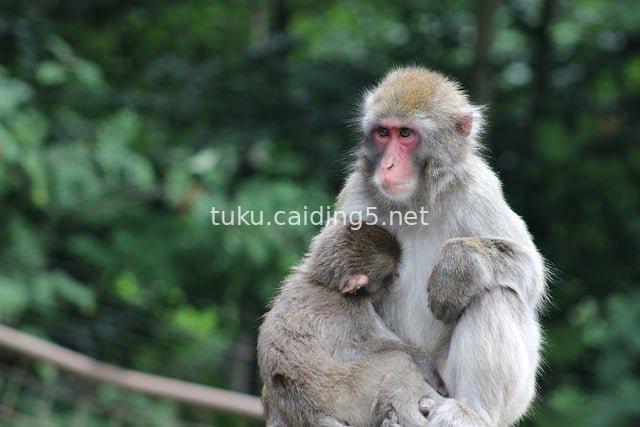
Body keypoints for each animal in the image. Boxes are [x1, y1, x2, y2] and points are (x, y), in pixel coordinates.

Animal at [257, 221, 450, 427]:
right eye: (389, 275)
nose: (397, 275)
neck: (327, 285)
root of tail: (312, 414)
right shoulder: (353, 310)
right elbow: (349, 351)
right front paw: (425, 363)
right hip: (351, 393)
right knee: (397, 360)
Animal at [330, 66, 547, 426]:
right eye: (383, 133)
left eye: (405, 134)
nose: (387, 165)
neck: (415, 202)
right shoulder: (356, 199)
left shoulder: (477, 188)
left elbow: (530, 271)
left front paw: (458, 267)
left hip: (511, 393)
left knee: (495, 294)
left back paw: (472, 411)